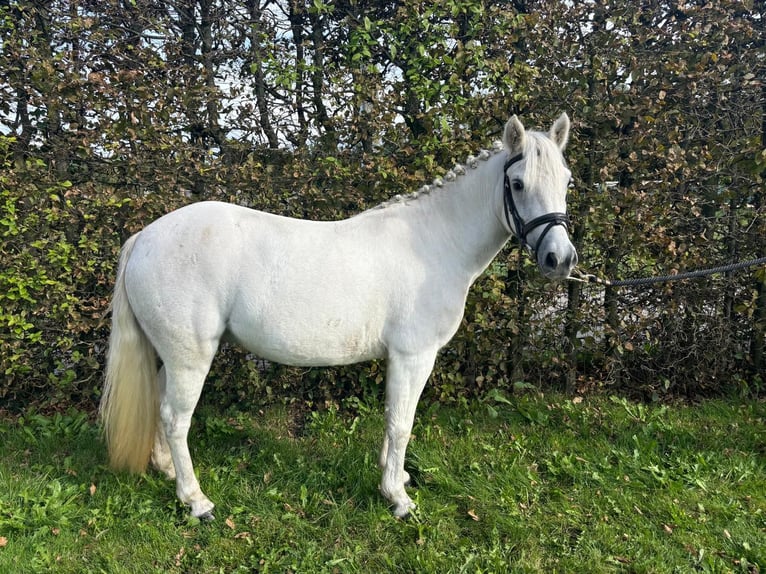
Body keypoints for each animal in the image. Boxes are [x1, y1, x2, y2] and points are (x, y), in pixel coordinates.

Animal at [103, 115, 584, 520]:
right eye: (517, 183)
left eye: (567, 180)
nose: (559, 259)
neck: (433, 243)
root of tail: (145, 237)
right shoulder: (413, 356)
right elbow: (402, 422)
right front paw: (398, 498)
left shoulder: (399, 358)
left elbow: (392, 421)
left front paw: (396, 476)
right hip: (190, 357)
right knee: (175, 417)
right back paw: (196, 500)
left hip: (174, 355)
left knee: (161, 405)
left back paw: (167, 471)